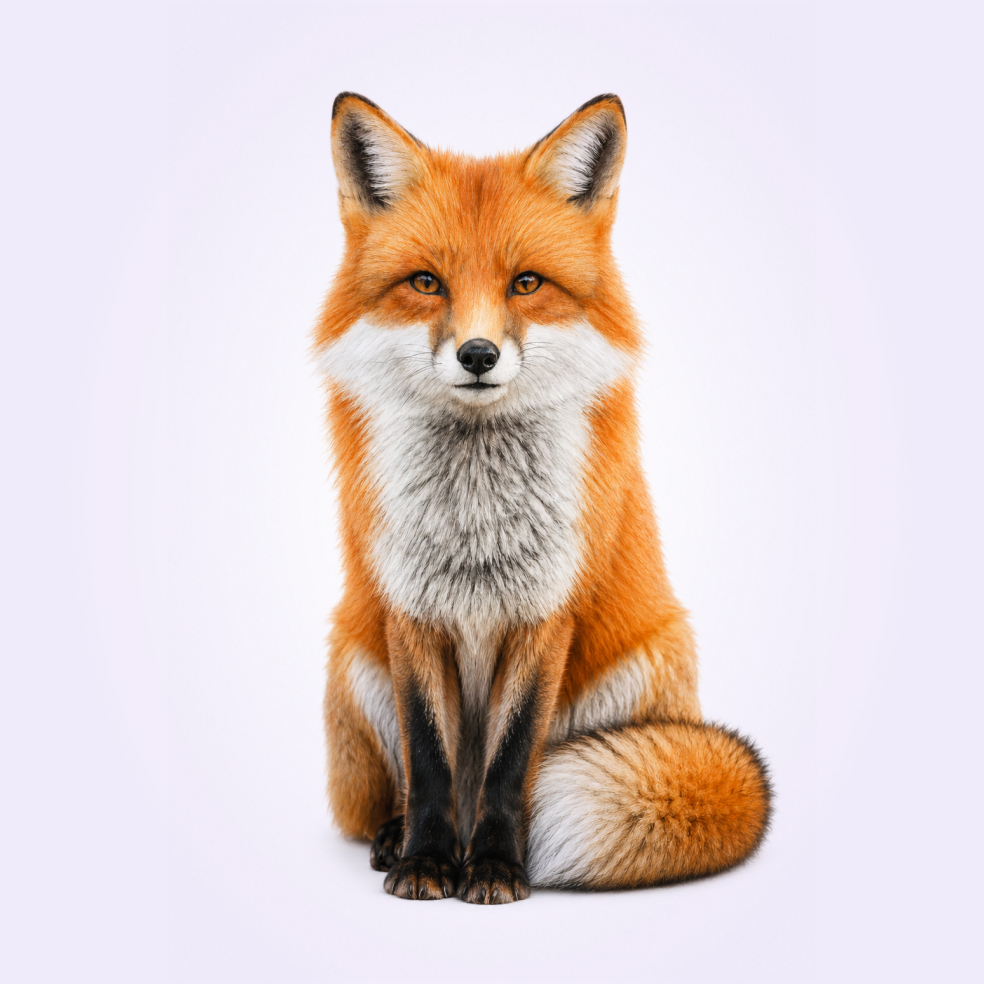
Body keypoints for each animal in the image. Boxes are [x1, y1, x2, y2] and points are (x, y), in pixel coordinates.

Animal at [315, 92, 771, 904]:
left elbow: (510, 761)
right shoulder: (409, 608)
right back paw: (399, 837)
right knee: (401, 792)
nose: (478, 354)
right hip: (352, 656)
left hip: (643, 666)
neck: (474, 518)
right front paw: (426, 861)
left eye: (525, 283)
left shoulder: (547, 610)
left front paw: (497, 866)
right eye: (426, 283)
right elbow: (429, 759)